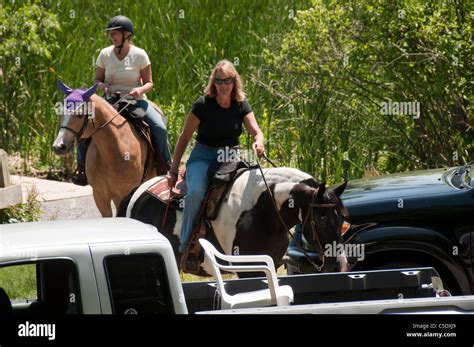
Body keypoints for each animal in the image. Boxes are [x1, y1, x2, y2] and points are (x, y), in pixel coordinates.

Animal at [118, 167, 348, 278]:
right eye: (321, 218)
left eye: (343, 220)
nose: (339, 264)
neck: (263, 208)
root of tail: (137, 191)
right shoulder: (250, 268)